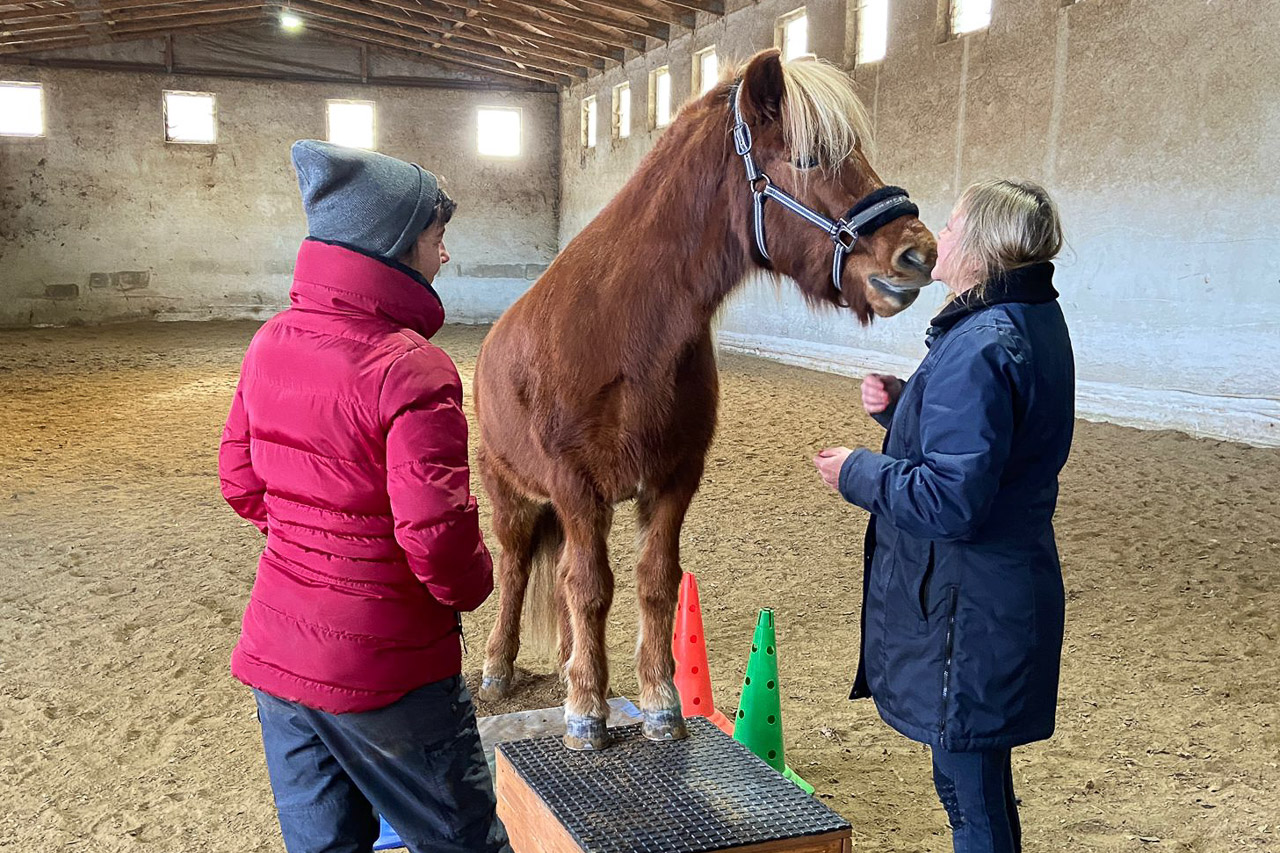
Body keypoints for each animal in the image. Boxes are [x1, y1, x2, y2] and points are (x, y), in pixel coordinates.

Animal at [474, 49, 937, 750]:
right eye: (809, 158)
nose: (917, 253)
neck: (624, 329)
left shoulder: (673, 480)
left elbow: (654, 583)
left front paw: (658, 703)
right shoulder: (576, 487)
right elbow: (588, 588)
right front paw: (585, 713)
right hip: (512, 495)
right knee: (518, 568)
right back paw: (500, 668)